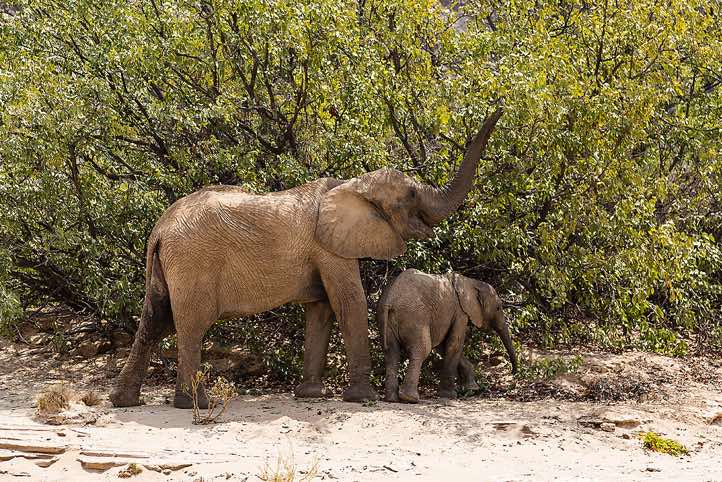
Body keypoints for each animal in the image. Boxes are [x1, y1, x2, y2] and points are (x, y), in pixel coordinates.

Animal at [109, 108, 503, 409]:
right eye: (410, 197)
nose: (498, 104)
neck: (352, 184)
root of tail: (160, 230)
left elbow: (321, 309)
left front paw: (310, 394)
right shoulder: (329, 247)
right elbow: (349, 302)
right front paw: (362, 398)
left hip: (169, 267)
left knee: (154, 320)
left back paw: (125, 401)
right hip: (194, 263)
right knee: (190, 325)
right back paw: (197, 405)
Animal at [377, 269, 517, 403]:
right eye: (498, 308)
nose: (514, 372)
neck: (471, 282)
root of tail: (390, 299)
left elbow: (442, 346)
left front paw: (472, 388)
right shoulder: (460, 312)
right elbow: (454, 343)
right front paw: (449, 395)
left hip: (387, 320)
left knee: (391, 353)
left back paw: (391, 399)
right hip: (415, 316)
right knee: (421, 350)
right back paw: (410, 398)